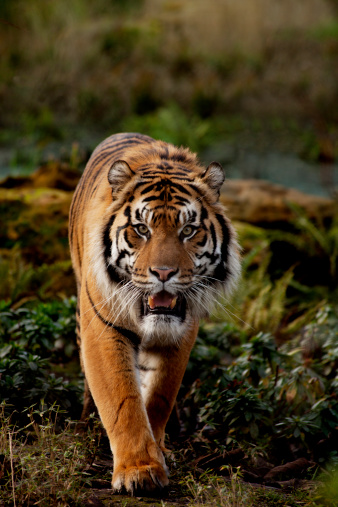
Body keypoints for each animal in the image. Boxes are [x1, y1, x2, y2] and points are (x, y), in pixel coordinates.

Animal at [68, 132, 242, 496]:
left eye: (188, 230)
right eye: (141, 229)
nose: (163, 273)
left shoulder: (182, 332)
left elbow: (161, 393)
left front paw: (158, 450)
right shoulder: (104, 328)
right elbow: (122, 401)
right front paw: (139, 470)